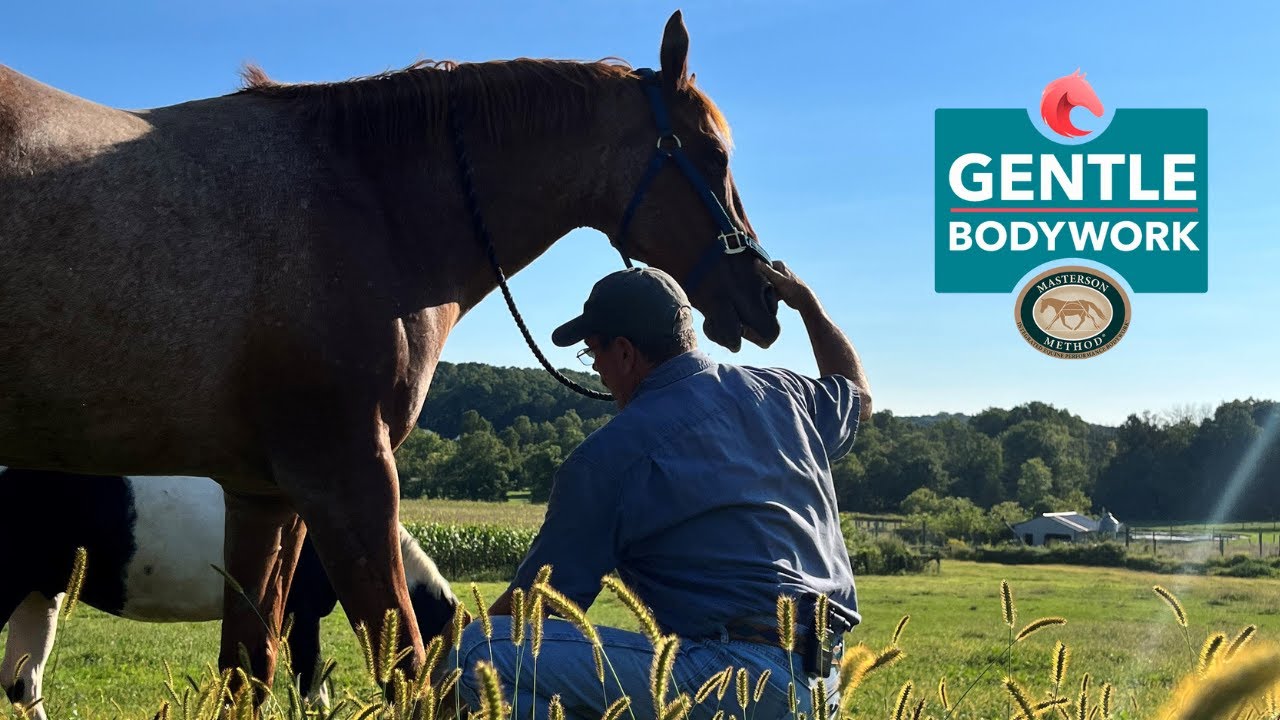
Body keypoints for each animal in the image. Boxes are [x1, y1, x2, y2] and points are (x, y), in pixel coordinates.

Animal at [0, 10, 779, 690]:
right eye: (713, 153)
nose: (764, 301)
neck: (364, 205)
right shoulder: (348, 481)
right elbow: (408, 670)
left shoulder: (266, 499)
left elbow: (249, 671)